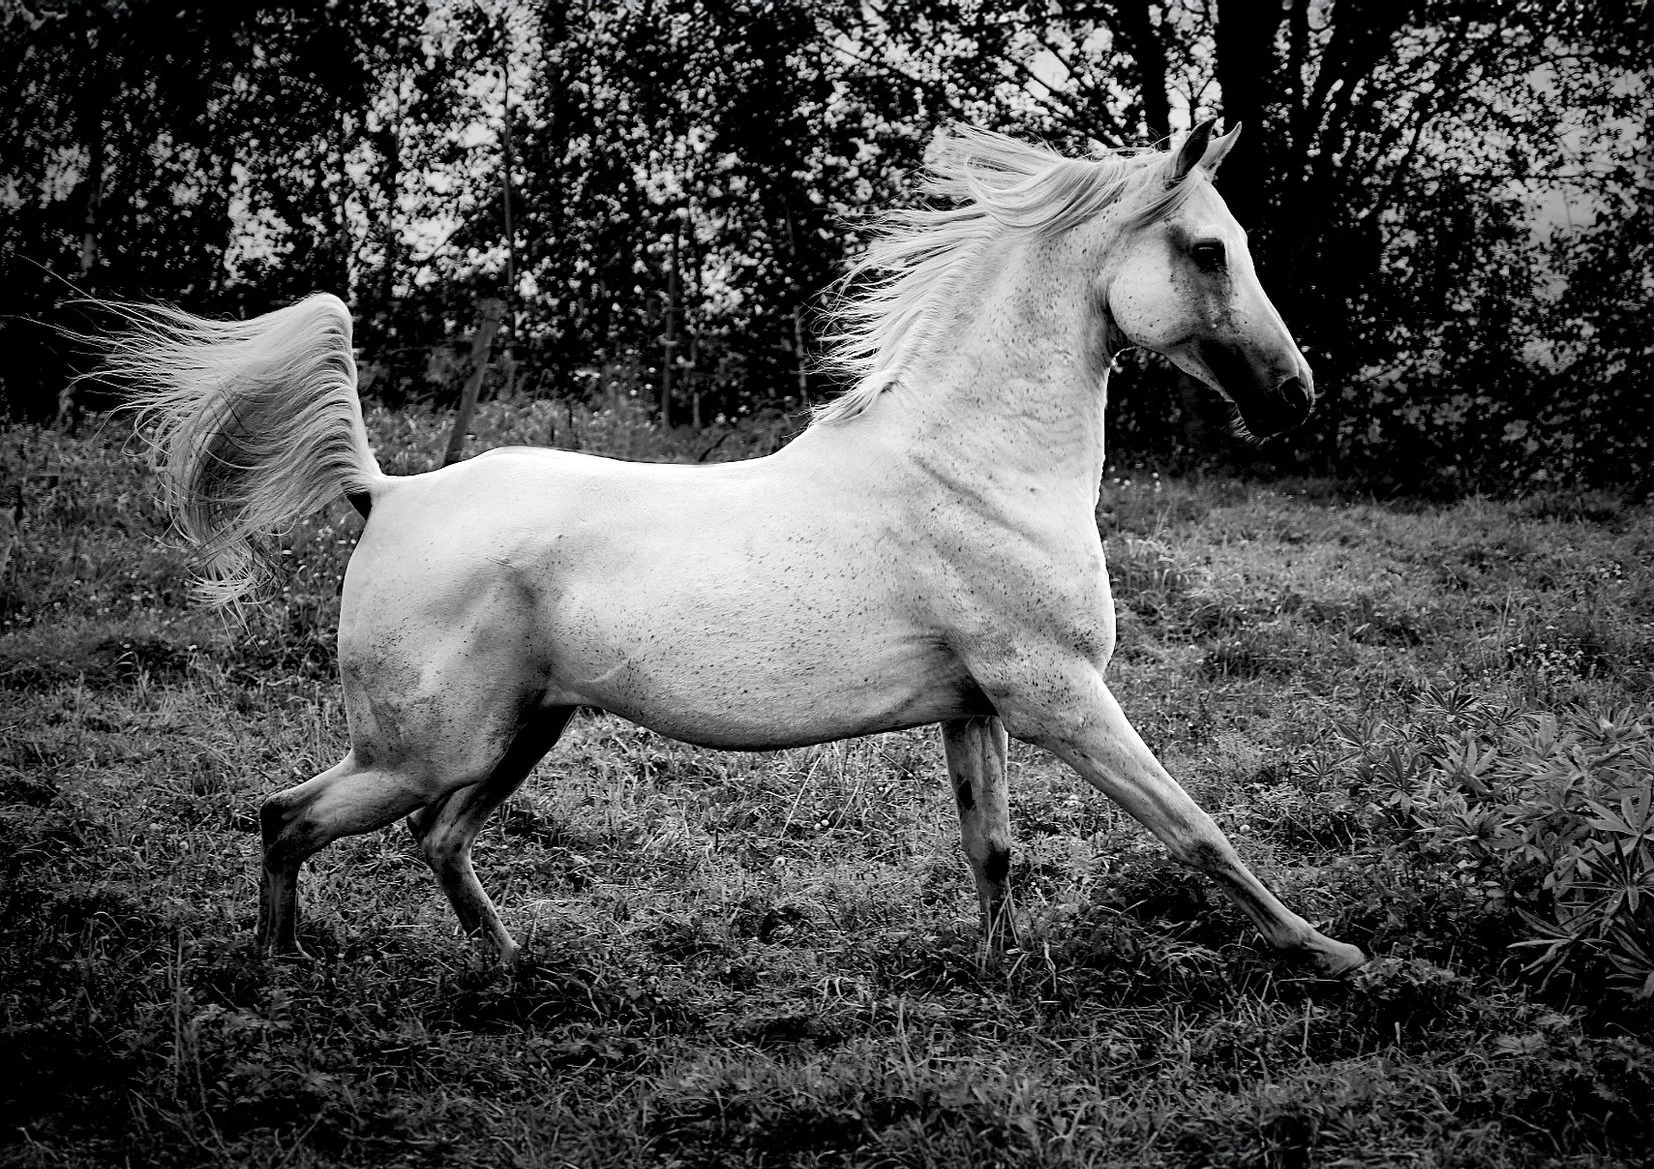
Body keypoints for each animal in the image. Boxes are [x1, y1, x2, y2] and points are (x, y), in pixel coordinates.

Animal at [107, 118, 1366, 976]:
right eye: (1206, 250)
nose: (1296, 395)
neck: (970, 468)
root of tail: (389, 493)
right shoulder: (1058, 694)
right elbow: (1196, 828)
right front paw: (1331, 952)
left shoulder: (978, 708)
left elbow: (993, 849)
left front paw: (1004, 973)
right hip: (427, 745)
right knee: (292, 815)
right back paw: (285, 971)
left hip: (523, 731)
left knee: (436, 838)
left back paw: (511, 964)